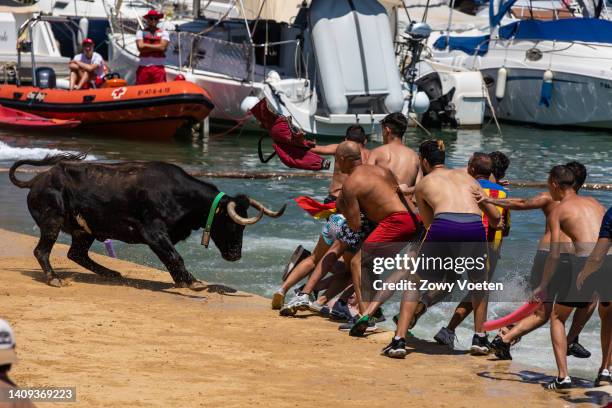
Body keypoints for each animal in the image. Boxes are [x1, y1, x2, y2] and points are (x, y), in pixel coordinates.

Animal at [8, 153, 286, 290]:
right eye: (231, 223)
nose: (235, 255)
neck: (181, 195)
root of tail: (37, 180)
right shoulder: (153, 233)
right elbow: (174, 256)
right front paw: (193, 282)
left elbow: (170, 258)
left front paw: (183, 280)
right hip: (52, 222)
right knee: (42, 251)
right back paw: (55, 279)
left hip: (85, 230)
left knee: (76, 253)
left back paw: (112, 273)